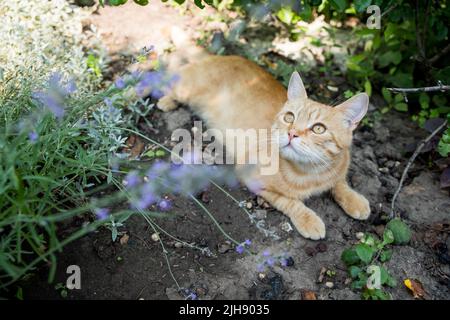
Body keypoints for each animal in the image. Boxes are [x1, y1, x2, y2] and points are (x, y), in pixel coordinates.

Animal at [157, 35, 370, 240]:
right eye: (289, 117)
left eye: (318, 128)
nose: (292, 133)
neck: (311, 174)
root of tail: (222, 57)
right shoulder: (251, 178)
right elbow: (290, 201)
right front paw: (309, 220)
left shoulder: (338, 170)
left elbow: (340, 183)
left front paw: (355, 200)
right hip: (184, 89)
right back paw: (162, 99)